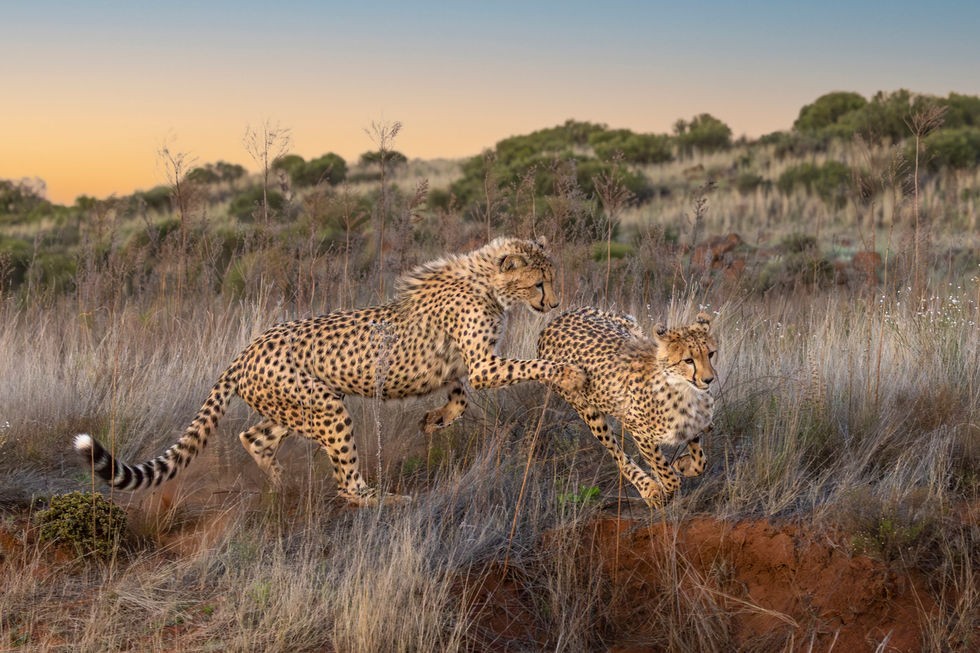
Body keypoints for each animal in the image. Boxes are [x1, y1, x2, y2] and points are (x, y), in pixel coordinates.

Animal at [74, 236, 586, 504]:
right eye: (539, 283)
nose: (554, 303)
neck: (486, 282)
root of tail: (246, 348)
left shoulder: (463, 367)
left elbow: (460, 397)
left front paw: (434, 420)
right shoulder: (482, 364)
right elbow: (533, 365)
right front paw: (572, 374)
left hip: (299, 408)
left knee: (252, 436)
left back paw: (281, 485)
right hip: (326, 409)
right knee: (346, 484)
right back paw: (384, 500)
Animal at [537, 307, 717, 505]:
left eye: (710, 354)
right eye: (688, 360)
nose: (709, 379)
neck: (683, 390)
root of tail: (553, 322)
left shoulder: (689, 427)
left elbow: (700, 462)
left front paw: (682, 464)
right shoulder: (639, 432)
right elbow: (666, 473)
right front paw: (663, 490)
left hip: (634, 328)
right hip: (589, 412)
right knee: (618, 455)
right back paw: (648, 487)